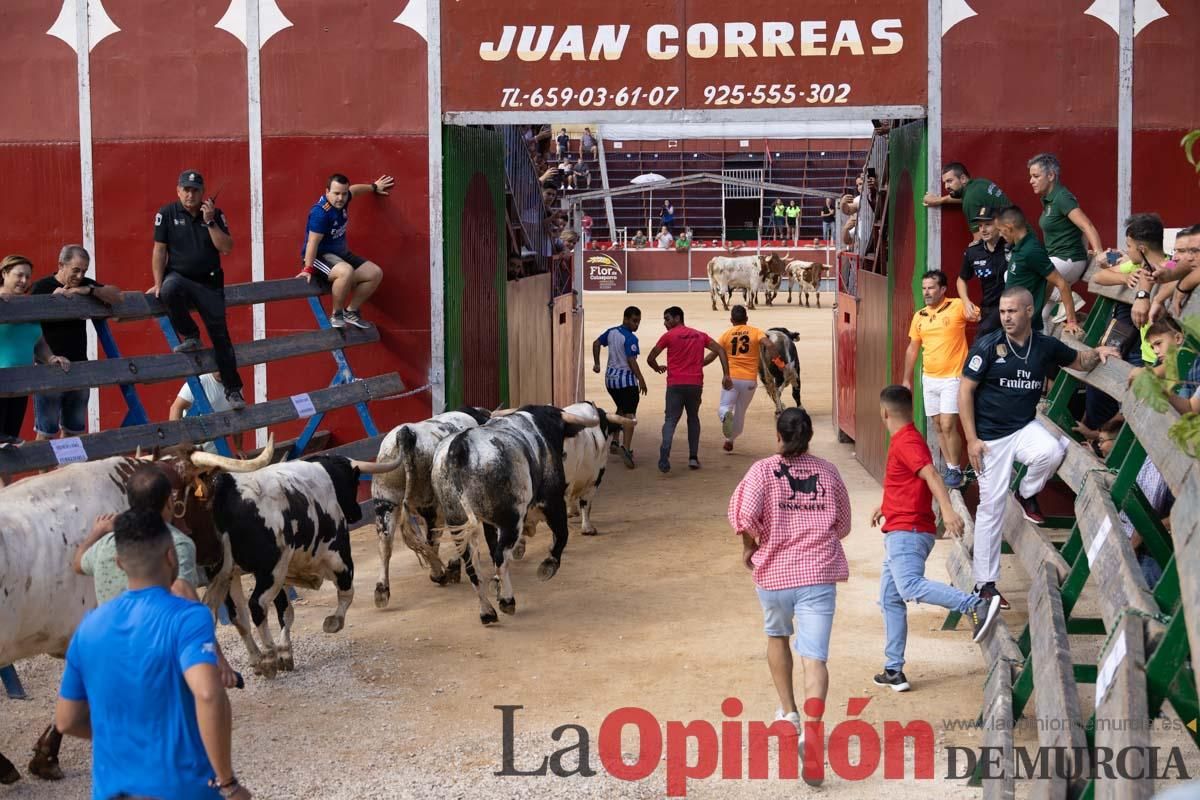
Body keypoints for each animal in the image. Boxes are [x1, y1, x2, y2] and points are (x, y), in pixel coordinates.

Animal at [200, 450, 398, 676]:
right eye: (354, 481)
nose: (357, 512)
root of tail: (226, 489)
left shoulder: (285, 574)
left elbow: (286, 612)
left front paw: (286, 652)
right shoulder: (339, 556)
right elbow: (347, 592)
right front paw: (334, 622)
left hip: (228, 574)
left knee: (237, 616)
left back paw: (257, 659)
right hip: (270, 570)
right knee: (256, 605)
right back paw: (269, 657)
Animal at [369, 407, 492, 606]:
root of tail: (406, 433)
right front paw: (454, 565)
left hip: (385, 500)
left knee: (385, 542)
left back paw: (382, 590)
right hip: (431, 506)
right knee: (432, 538)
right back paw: (439, 574)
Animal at [434, 407, 597, 623]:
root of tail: (459, 446)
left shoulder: (489, 523)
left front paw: (496, 584)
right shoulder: (553, 501)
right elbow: (562, 534)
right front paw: (548, 565)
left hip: (456, 520)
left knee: (473, 566)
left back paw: (487, 612)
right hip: (510, 522)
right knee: (501, 556)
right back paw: (507, 600)